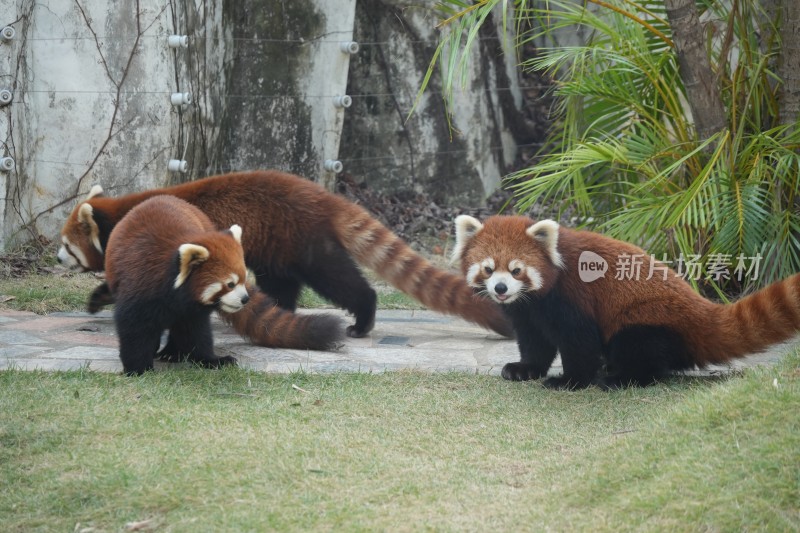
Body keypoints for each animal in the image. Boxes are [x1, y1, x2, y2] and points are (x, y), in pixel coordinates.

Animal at [57, 169, 512, 336]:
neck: (120, 213)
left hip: (304, 243)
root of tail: (322, 195)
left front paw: (102, 297)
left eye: (64, 245)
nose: (57, 260)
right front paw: (98, 298)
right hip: (279, 250)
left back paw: (362, 320)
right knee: (284, 285)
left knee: (340, 281)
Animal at [105, 195, 340, 374]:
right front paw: (138, 369)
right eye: (230, 284)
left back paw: (172, 352)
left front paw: (209, 359)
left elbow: (196, 331)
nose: (245, 299)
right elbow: (135, 329)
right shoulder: (140, 287)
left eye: (244, 280)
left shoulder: (192, 309)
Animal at [454, 214, 800, 388]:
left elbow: (579, 342)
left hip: (650, 321)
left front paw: (569, 380)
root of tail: (700, 309)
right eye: (488, 269)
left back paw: (620, 378)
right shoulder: (527, 310)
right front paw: (524, 369)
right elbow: (534, 341)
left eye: (516, 269)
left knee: (638, 349)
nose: (500, 288)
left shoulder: (571, 297)